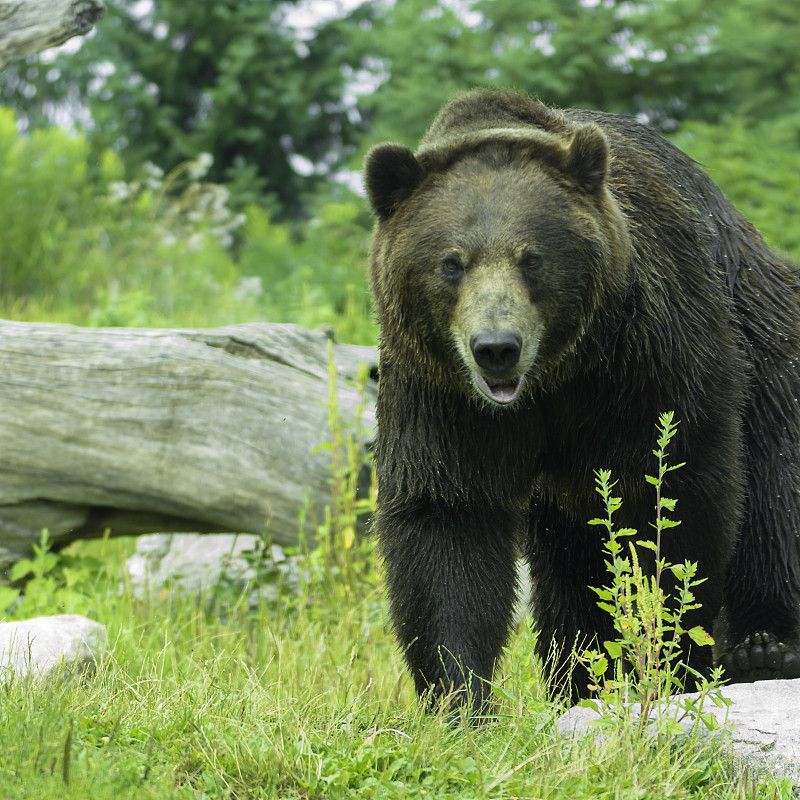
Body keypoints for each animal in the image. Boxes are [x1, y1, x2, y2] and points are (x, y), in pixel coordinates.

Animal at [362, 87, 800, 712]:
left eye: (532, 257)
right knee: (569, 561)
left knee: (772, 489)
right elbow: (446, 520)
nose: (496, 348)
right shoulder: (439, 390)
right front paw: (461, 695)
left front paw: (676, 660)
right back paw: (580, 674)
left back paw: (763, 646)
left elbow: (682, 490)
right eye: (451, 262)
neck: (556, 376)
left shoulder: (652, 351)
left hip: (763, 342)